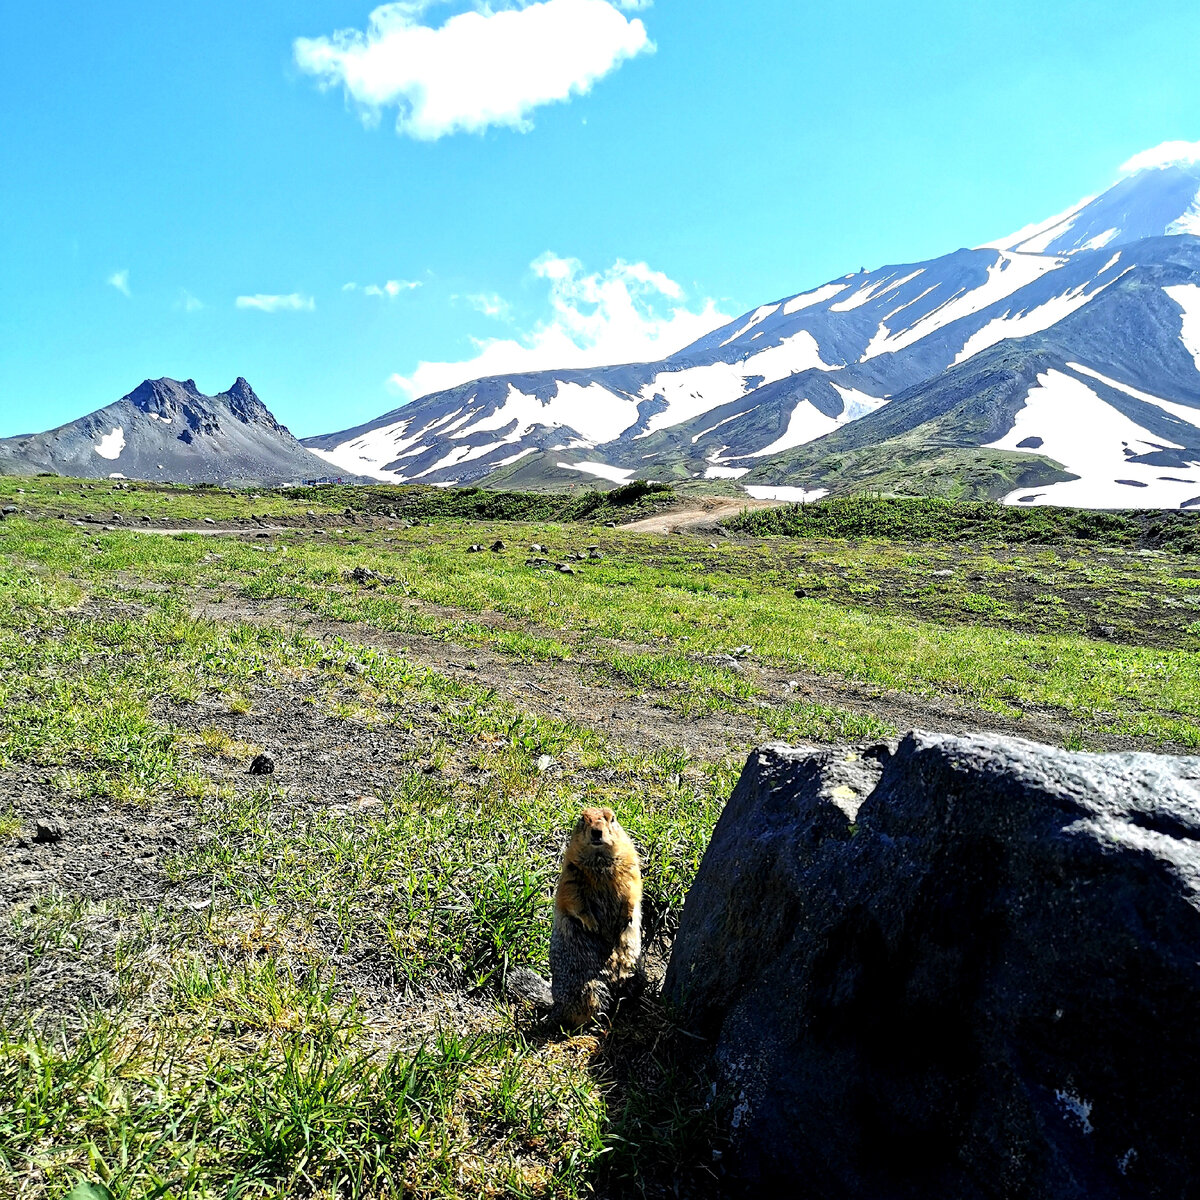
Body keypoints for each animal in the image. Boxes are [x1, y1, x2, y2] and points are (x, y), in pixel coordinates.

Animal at [552, 801, 648, 1027]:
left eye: (612, 818)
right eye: (582, 818)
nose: (596, 831)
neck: (599, 860)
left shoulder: (631, 865)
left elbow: (633, 890)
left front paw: (626, 918)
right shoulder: (570, 871)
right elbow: (572, 897)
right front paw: (592, 924)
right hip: (587, 988)